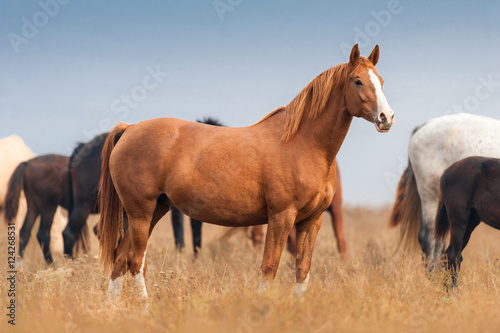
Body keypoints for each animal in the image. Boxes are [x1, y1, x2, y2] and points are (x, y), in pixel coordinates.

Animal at [97, 44, 394, 298]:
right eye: (357, 80)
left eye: (380, 81)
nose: (386, 118)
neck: (303, 143)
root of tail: (129, 129)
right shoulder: (281, 217)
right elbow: (269, 268)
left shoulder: (312, 220)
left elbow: (302, 271)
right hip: (141, 212)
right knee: (135, 261)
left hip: (156, 209)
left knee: (120, 259)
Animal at [434, 156, 500, 286]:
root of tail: (446, 171)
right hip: (459, 221)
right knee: (454, 256)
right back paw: (454, 289)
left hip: (470, 223)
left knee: (447, 255)